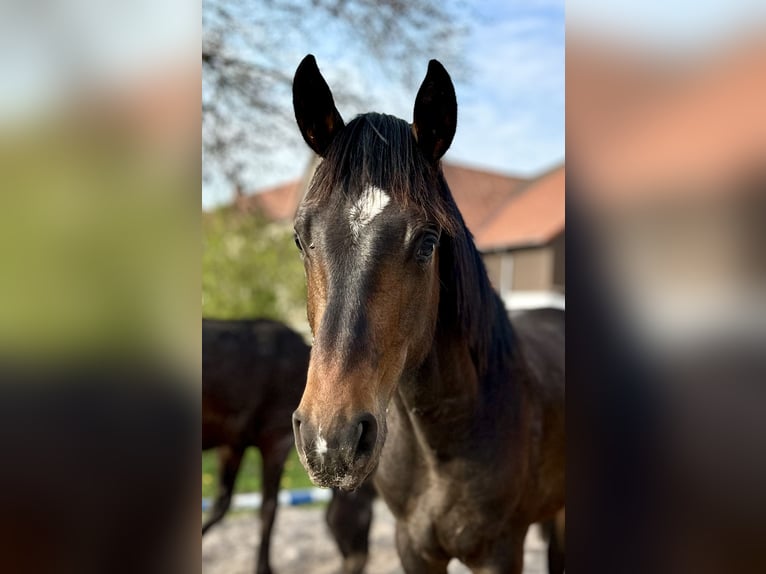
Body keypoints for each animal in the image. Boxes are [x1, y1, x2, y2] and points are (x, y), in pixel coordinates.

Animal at [202, 318, 374, 574]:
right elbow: (268, 509)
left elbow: (220, 506)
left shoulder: (232, 444)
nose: (358, 564)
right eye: (365, 518)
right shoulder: (276, 442)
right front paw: (264, 567)